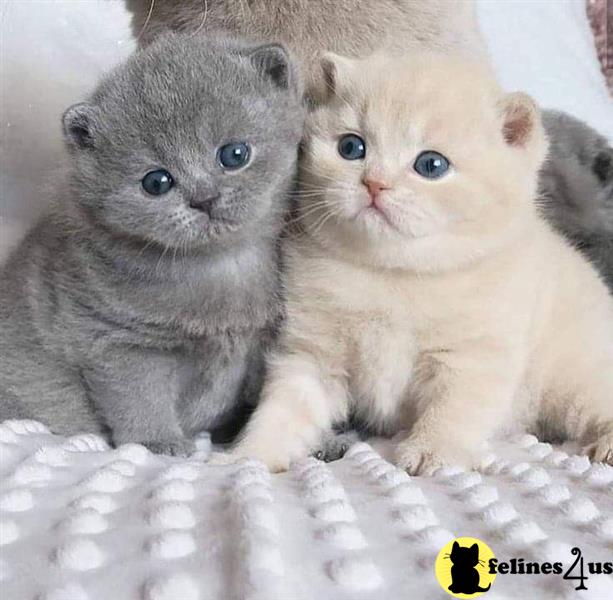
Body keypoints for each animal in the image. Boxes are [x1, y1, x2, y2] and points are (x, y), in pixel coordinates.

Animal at [0, 32, 304, 454]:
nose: (204, 199)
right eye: (156, 182)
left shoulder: (268, 340)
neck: (225, 265)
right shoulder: (119, 340)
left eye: (234, 154)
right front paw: (157, 441)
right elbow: (140, 398)